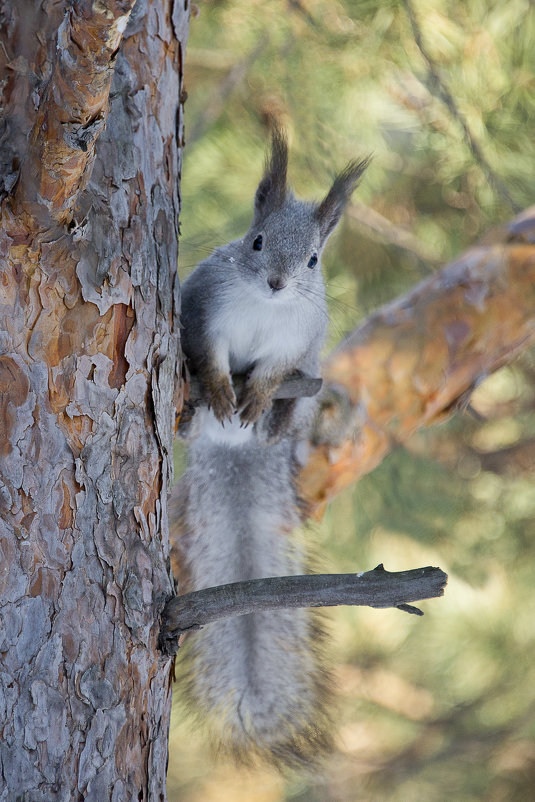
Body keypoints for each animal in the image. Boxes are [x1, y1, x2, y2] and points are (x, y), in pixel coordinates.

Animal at [178, 128, 370, 764]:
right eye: (256, 240)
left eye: (313, 259)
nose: (278, 282)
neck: (266, 308)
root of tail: (236, 450)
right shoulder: (206, 315)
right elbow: (212, 359)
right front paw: (219, 389)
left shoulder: (295, 345)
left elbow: (269, 373)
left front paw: (257, 396)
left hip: (306, 387)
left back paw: (267, 423)